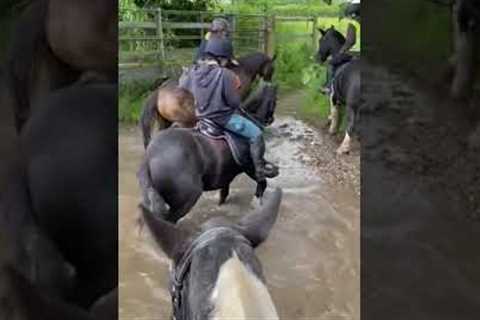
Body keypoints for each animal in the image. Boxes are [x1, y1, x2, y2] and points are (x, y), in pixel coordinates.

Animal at [137, 82, 278, 222]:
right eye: (275, 100)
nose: (271, 119)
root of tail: (149, 157)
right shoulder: (248, 165)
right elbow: (262, 182)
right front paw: (257, 203)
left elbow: (225, 186)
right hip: (187, 198)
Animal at [316, 26, 360, 154]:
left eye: (320, 40)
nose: (317, 58)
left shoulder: (333, 97)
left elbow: (335, 113)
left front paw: (332, 129)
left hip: (352, 106)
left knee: (351, 123)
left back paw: (343, 147)